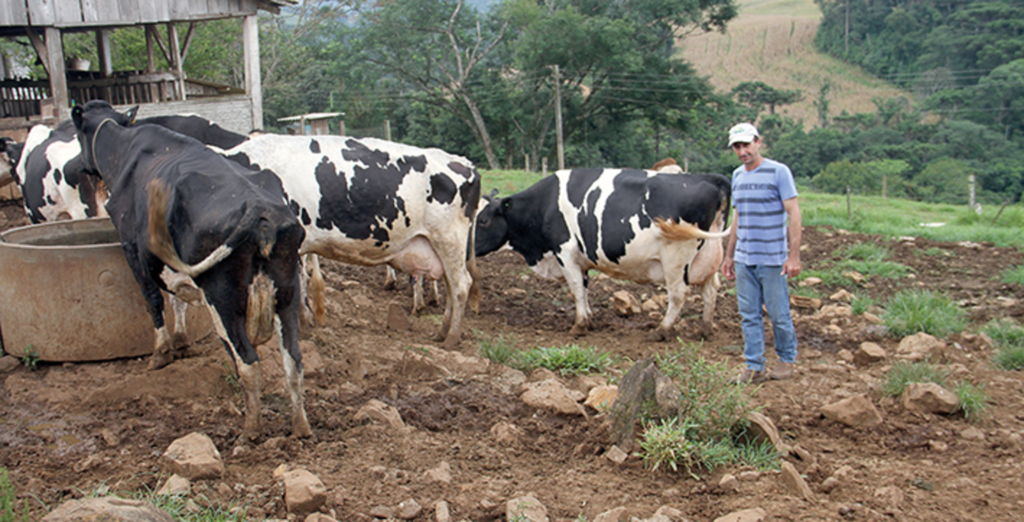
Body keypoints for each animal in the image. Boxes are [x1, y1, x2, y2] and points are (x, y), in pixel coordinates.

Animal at [71, 99, 307, 438]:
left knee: (248, 362)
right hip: (286, 294)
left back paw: (250, 428)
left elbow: (153, 300)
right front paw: (182, 340)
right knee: (293, 361)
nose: (79, 164)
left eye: (77, 134)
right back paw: (300, 425)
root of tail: (259, 207)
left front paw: (161, 352)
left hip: (222, 300)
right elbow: (176, 299)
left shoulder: (131, 249)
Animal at [218, 132, 481, 348]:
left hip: (448, 239)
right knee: (451, 285)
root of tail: (464, 163)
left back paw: (451, 338)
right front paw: (304, 325)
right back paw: (442, 332)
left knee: (460, 286)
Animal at [475, 167, 733, 337]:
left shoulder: (565, 253)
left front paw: (578, 325)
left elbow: (576, 289)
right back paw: (705, 329)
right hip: (708, 258)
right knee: (711, 290)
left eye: (484, 221)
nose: (469, 247)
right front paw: (589, 320)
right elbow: (585, 288)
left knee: (679, 293)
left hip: (676, 257)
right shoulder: (581, 260)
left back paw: (661, 330)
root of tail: (707, 177)